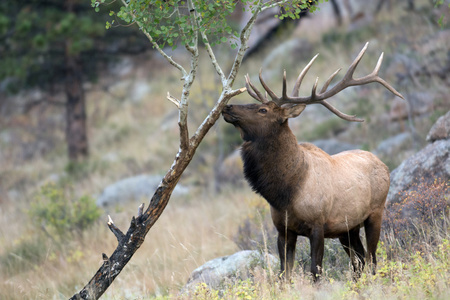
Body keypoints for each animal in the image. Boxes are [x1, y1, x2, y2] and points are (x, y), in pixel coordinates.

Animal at [221, 42, 404, 282]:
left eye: (263, 110)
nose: (227, 107)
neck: (286, 192)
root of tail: (383, 164)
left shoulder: (318, 225)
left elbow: (315, 271)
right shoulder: (284, 230)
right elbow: (284, 274)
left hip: (375, 212)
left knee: (372, 258)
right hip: (348, 228)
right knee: (359, 260)